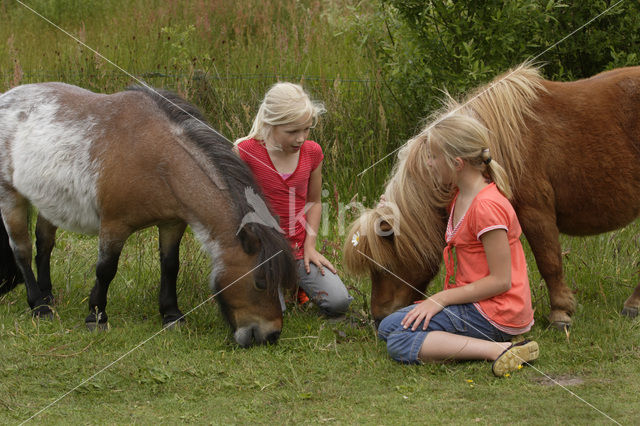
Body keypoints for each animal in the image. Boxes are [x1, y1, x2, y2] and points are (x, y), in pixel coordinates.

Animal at [0, 82, 298, 346]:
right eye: (260, 283)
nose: (272, 335)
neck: (157, 159)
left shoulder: (172, 223)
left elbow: (170, 265)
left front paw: (171, 315)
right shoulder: (114, 225)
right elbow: (105, 270)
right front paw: (96, 317)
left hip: (49, 201)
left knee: (44, 246)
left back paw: (48, 296)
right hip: (10, 197)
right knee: (22, 251)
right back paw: (39, 306)